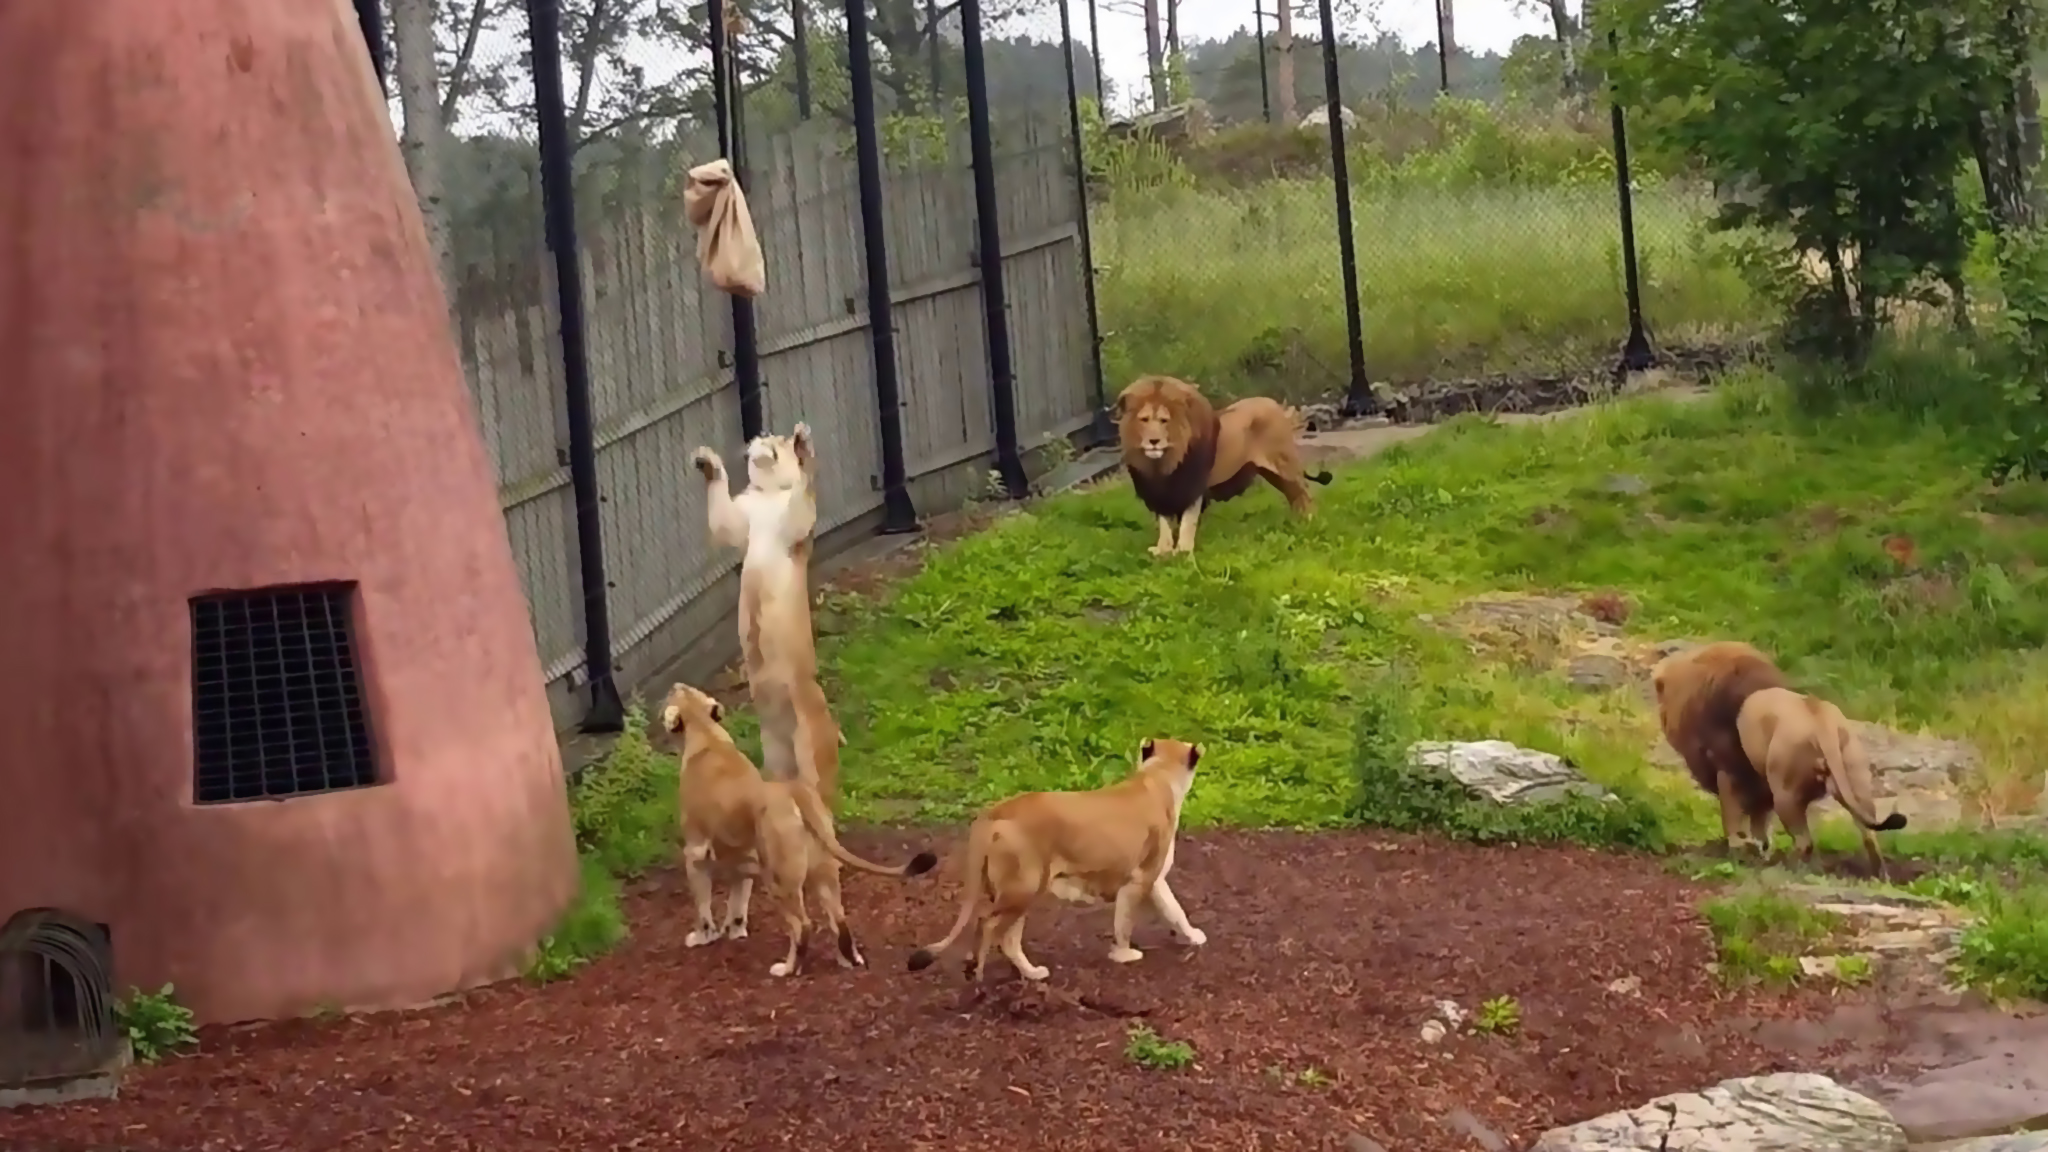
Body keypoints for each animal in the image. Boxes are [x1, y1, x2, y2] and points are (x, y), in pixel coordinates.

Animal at [1114, 373, 1335, 557]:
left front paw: (1184, 551)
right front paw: (1163, 550)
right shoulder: (1159, 490)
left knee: (1304, 494)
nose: (1153, 441)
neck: (1161, 463)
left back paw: (1311, 523)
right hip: (1273, 474)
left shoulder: (1192, 487)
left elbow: (1187, 522)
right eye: (1144, 420)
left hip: (1285, 465)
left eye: (1163, 420)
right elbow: (1165, 522)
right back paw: (1298, 523)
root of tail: (1277, 406)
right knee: (1294, 496)